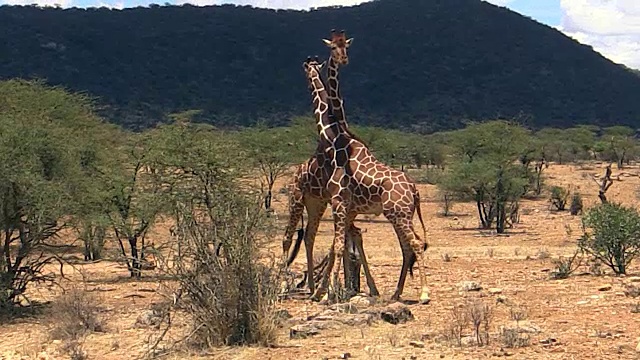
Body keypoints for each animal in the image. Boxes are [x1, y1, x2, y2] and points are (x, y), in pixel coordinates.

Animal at [282, 30, 428, 304]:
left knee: (413, 244)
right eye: (334, 47)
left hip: (389, 212)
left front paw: (330, 292)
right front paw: (335, 290)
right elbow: (343, 243)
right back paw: (394, 292)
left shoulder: (340, 204)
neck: (335, 135)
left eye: (345, 46)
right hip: (378, 211)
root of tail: (414, 190)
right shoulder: (344, 207)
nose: (344, 59)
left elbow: (339, 245)